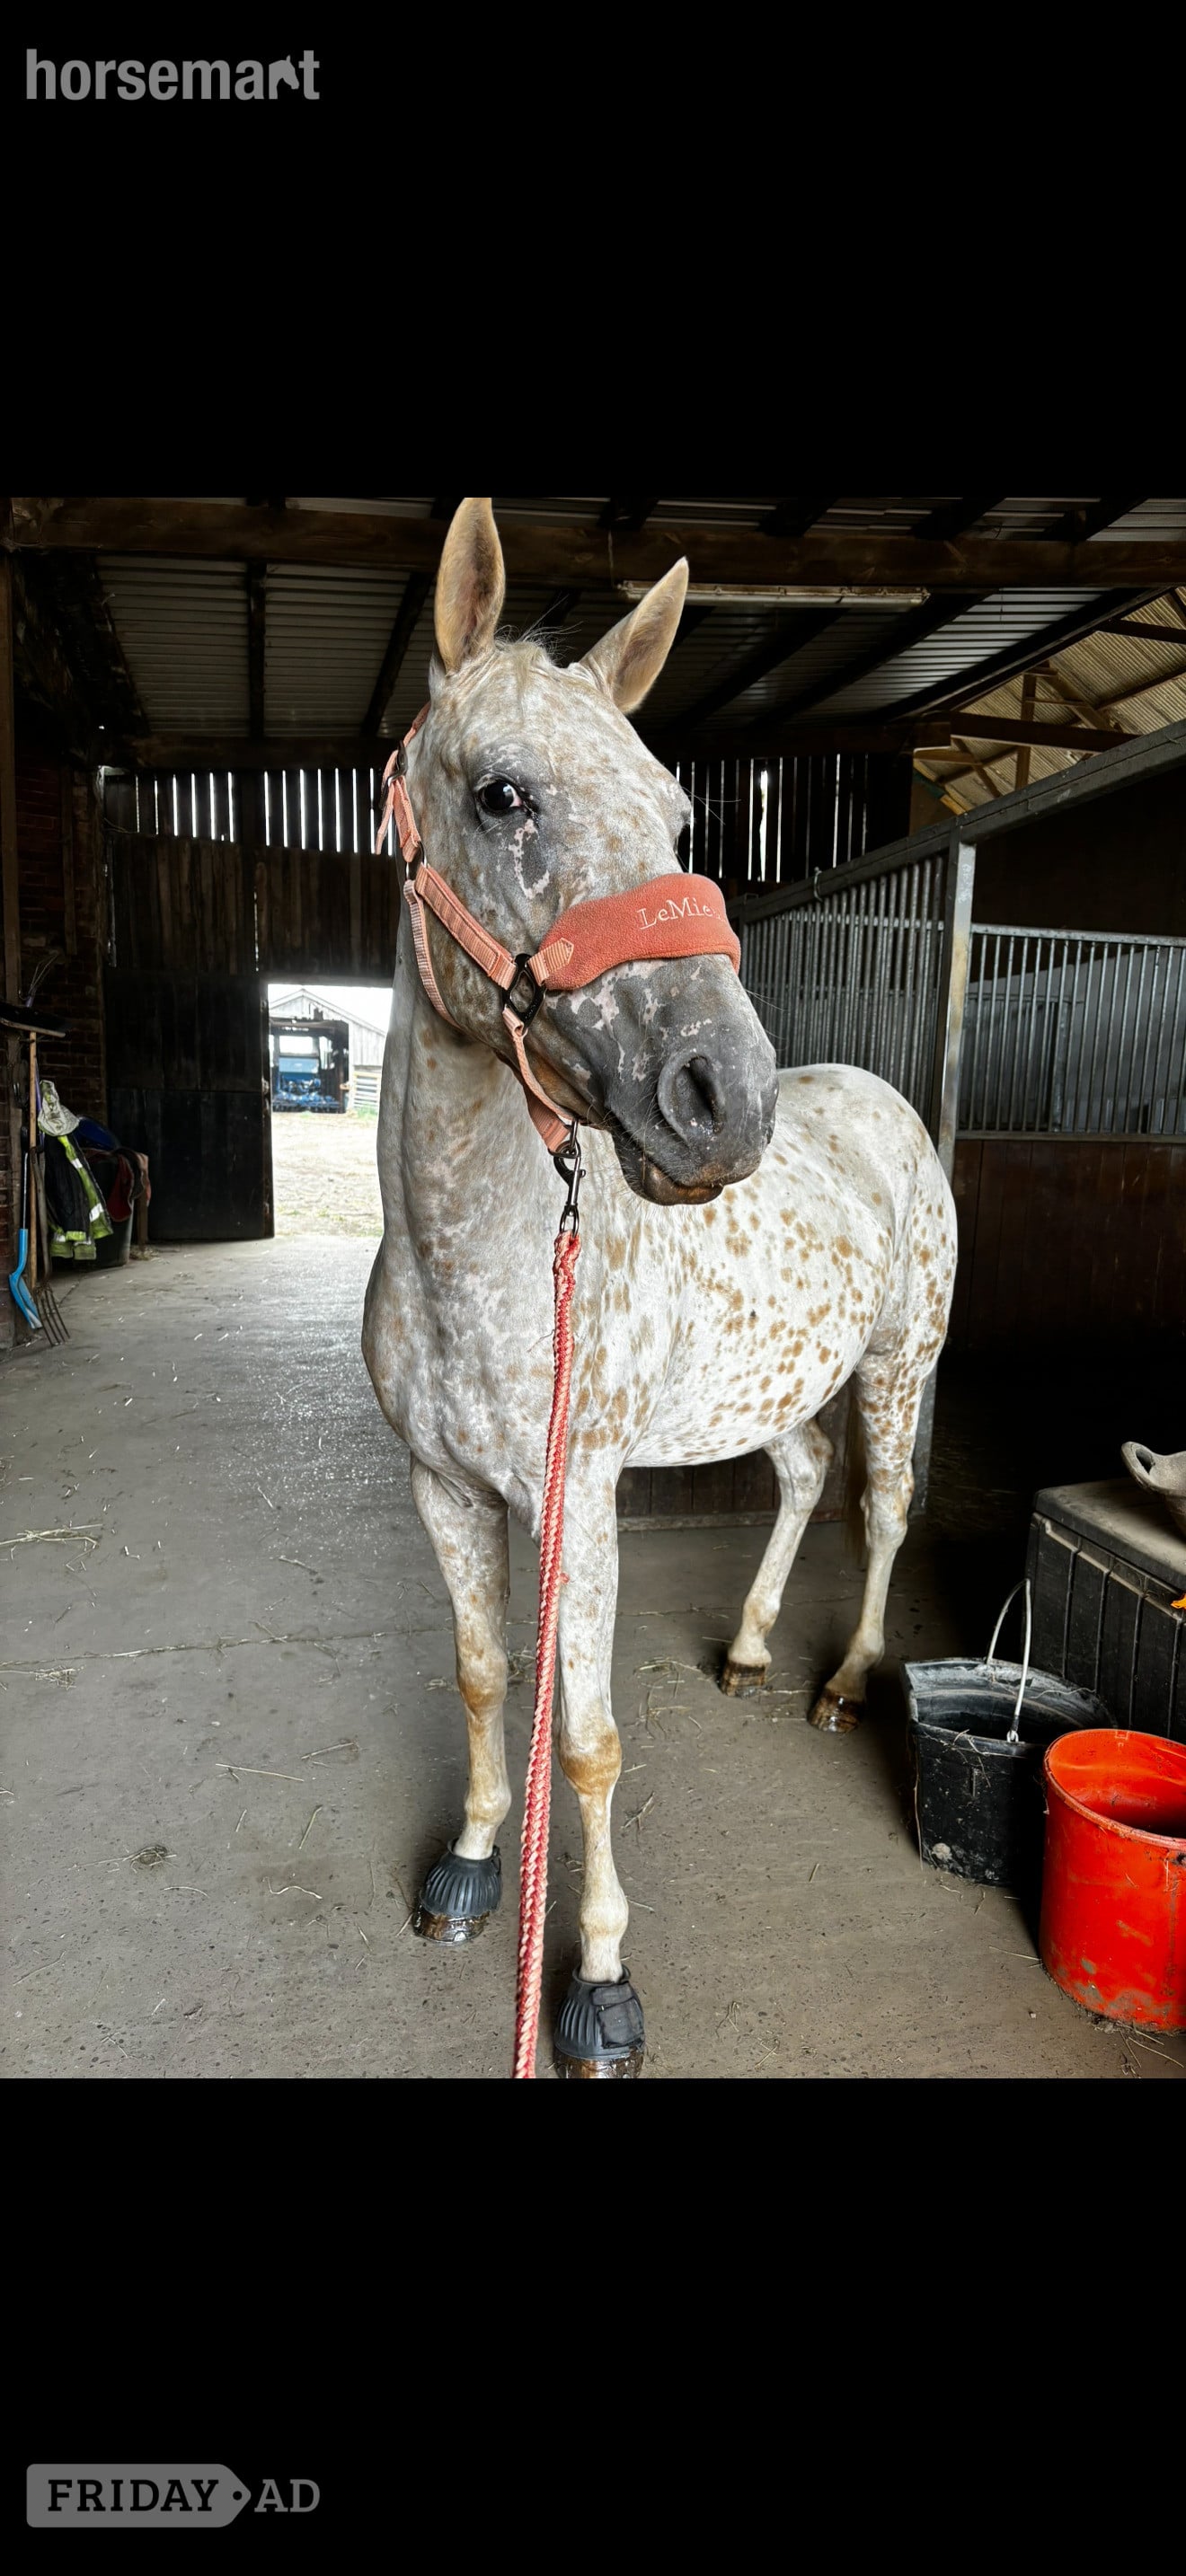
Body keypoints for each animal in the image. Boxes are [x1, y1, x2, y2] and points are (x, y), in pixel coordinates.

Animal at [362, 499, 957, 2075]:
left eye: (684, 822)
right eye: (503, 795)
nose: (722, 1100)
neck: (472, 1261)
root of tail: (880, 1103)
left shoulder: (579, 1502)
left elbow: (588, 1741)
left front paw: (598, 1983)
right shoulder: (445, 1490)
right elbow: (484, 1679)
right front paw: (468, 1866)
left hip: (901, 1366)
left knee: (883, 1506)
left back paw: (843, 1681)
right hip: (783, 1388)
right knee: (803, 1479)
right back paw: (748, 1648)